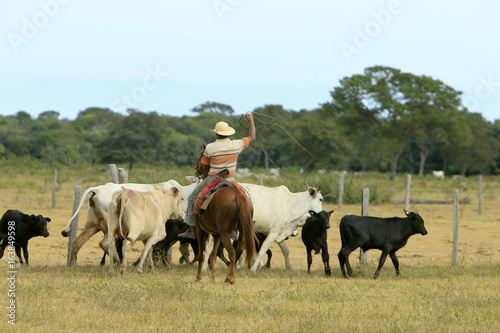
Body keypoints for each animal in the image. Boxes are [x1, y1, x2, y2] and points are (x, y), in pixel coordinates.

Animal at [59, 178, 198, 264]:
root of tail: (98, 189)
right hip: (112, 228)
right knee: (106, 244)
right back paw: (118, 262)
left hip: (93, 225)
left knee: (77, 242)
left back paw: (71, 266)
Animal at [196, 143, 258, 282]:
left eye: (201, 154)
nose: (197, 168)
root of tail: (238, 195)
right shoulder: (216, 234)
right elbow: (213, 255)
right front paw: (213, 277)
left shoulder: (200, 230)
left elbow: (201, 254)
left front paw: (199, 277)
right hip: (240, 230)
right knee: (239, 248)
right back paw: (228, 276)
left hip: (225, 232)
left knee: (231, 251)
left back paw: (231, 279)